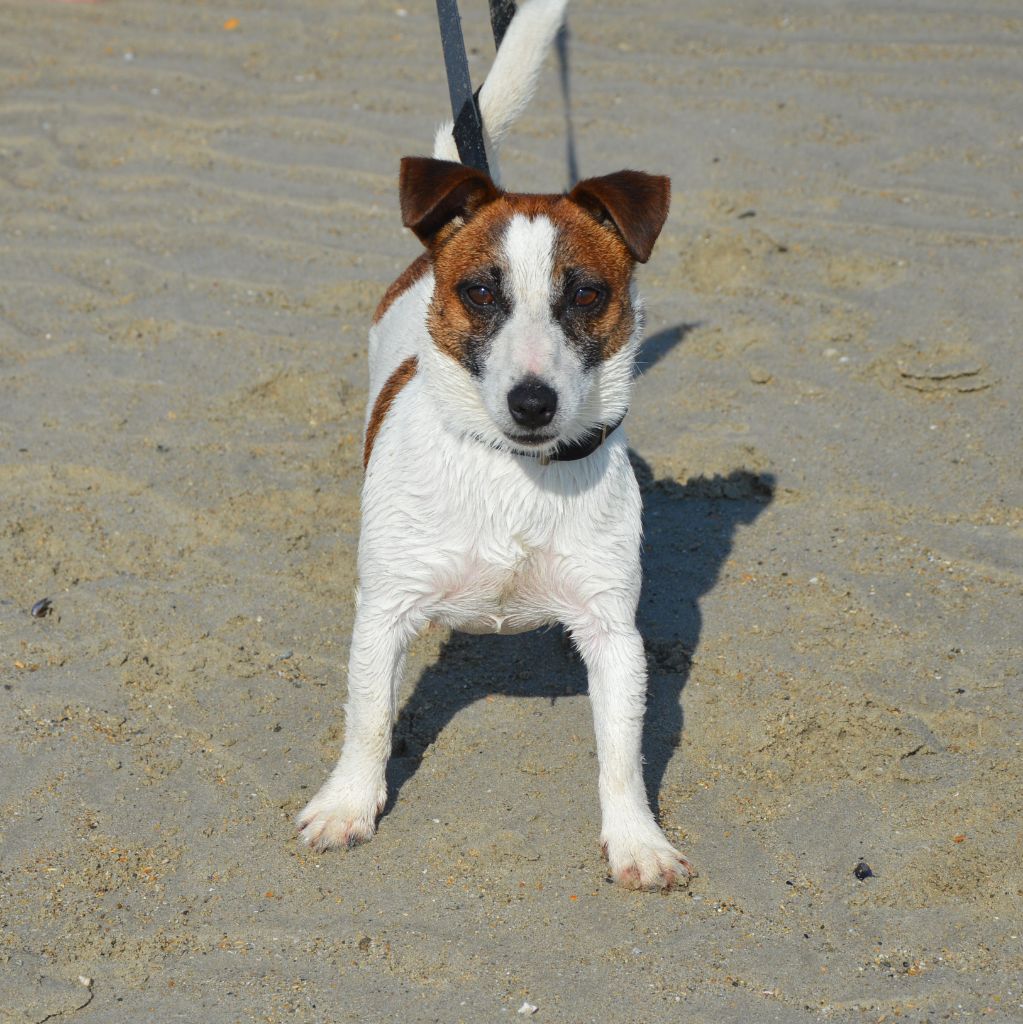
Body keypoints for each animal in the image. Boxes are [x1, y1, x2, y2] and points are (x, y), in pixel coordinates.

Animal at [297, 0, 693, 890]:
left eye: (586, 295)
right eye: (480, 292)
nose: (532, 401)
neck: (515, 472)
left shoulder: (612, 633)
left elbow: (622, 755)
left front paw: (636, 840)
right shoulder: (385, 611)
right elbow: (366, 719)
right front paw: (348, 804)